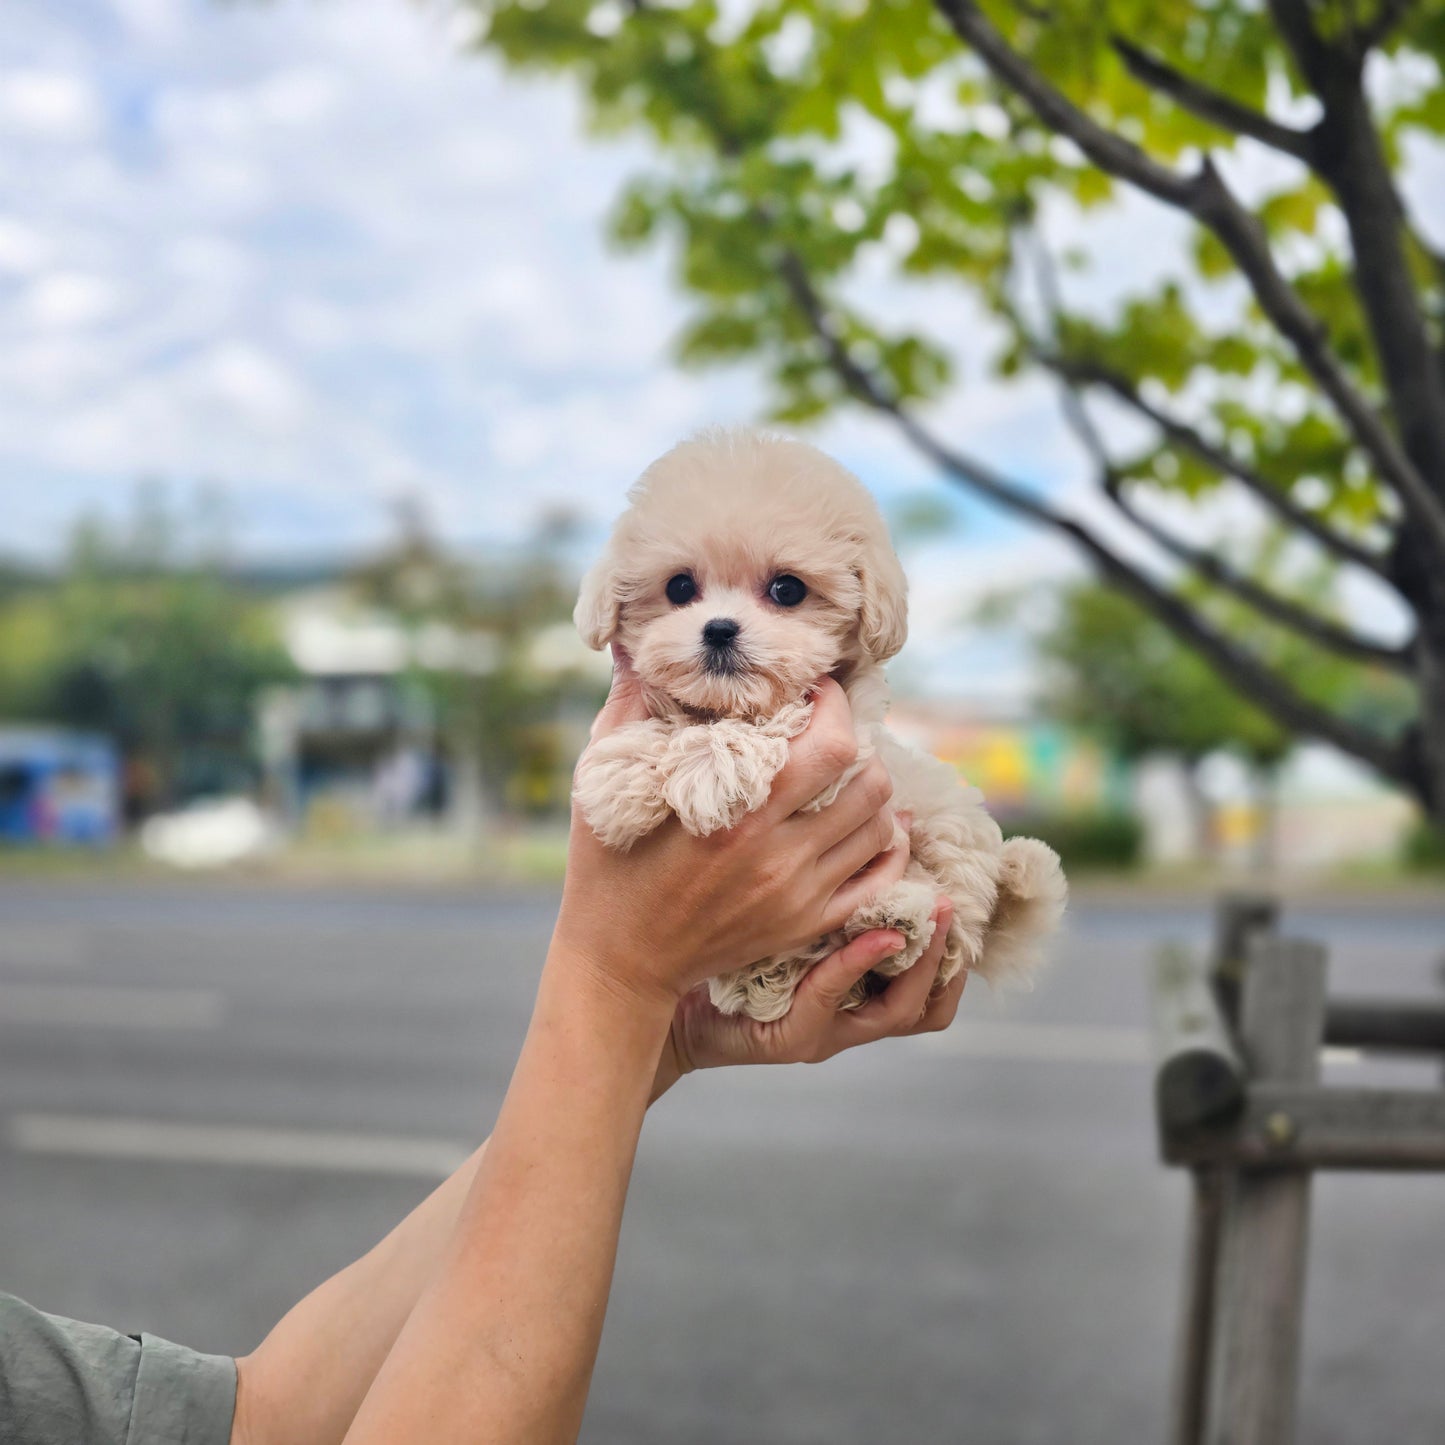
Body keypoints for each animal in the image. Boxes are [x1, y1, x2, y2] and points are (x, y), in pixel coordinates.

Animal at [572, 421, 1063, 1023]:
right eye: (679, 588)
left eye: (787, 590)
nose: (718, 629)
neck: (729, 702)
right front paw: (620, 775)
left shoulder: (845, 742)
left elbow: (776, 719)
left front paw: (711, 767)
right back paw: (767, 977)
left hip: (946, 829)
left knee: (952, 927)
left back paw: (897, 918)